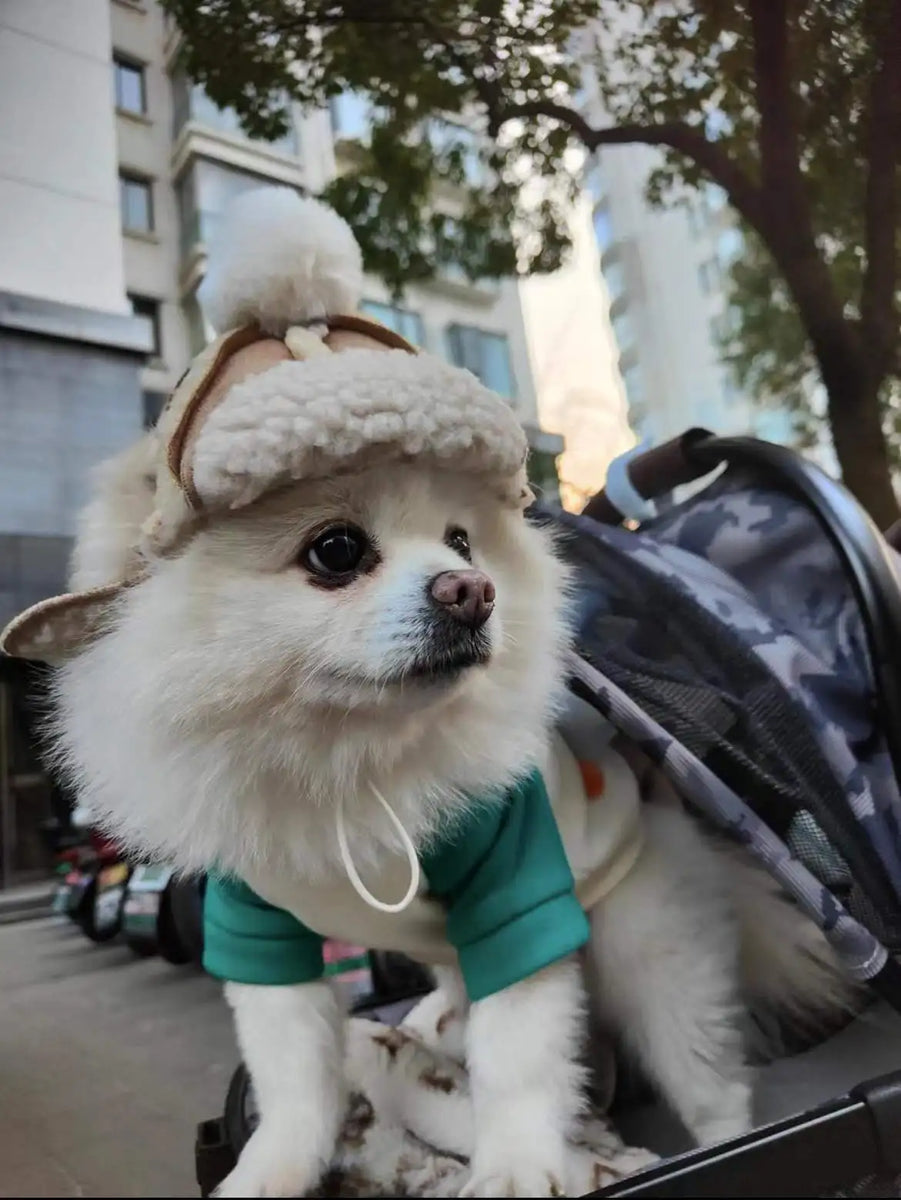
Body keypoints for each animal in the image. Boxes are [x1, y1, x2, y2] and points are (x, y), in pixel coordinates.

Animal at [1, 192, 854, 1195]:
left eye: (461, 542)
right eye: (336, 550)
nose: (470, 591)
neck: (346, 763)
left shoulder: (519, 891)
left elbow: (520, 1057)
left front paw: (516, 1168)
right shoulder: (259, 931)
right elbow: (293, 1078)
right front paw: (270, 1169)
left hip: (650, 948)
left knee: (707, 1074)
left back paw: (721, 1141)